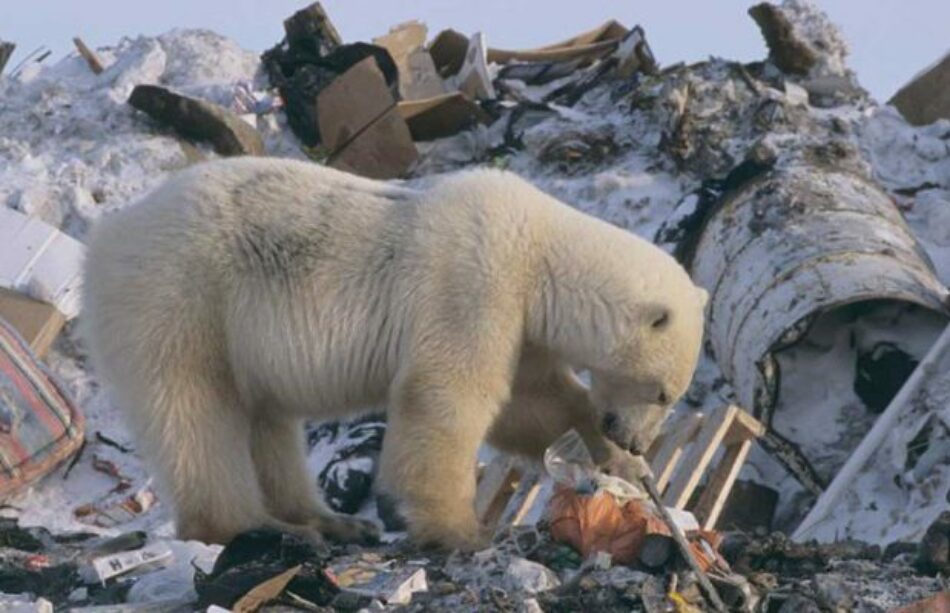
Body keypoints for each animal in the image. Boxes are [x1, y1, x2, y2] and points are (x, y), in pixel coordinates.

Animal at [82, 158, 708, 548]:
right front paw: (460, 531)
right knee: (196, 411)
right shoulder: (473, 282)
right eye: (662, 392)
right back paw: (257, 527)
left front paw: (618, 463)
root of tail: (105, 238)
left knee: (265, 421)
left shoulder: (520, 323)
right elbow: (449, 394)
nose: (636, 439)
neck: (538, 252)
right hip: (181, 298)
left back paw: (329, 521)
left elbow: (533, 403)